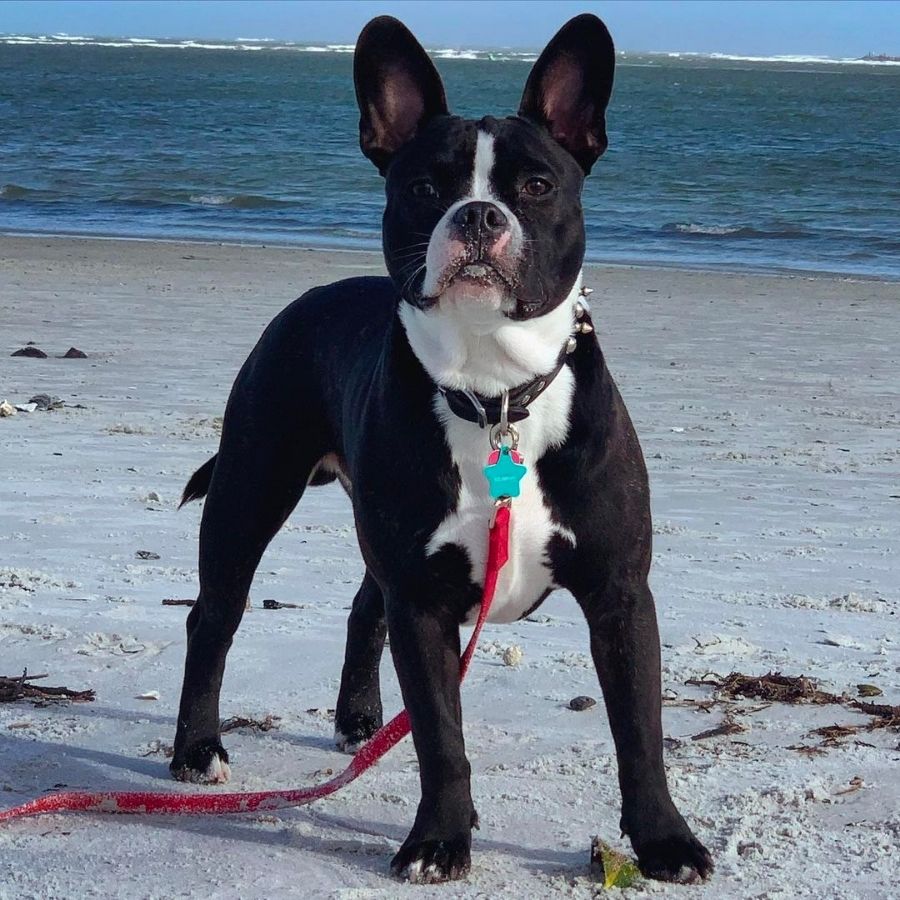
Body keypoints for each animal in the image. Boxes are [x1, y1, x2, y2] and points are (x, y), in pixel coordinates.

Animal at [172, 14, 712, 884]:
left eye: (536, 187)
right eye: (426, 188)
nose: (479, 216)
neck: (494, 392)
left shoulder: (621, 597)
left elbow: (638, 733)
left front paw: (664, 840)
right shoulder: (424, 605)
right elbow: (440, 739)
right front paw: (438, 840)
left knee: (364, 604)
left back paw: (359, 718)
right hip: (250, 488)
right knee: (214, 618)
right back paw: (196, 748)